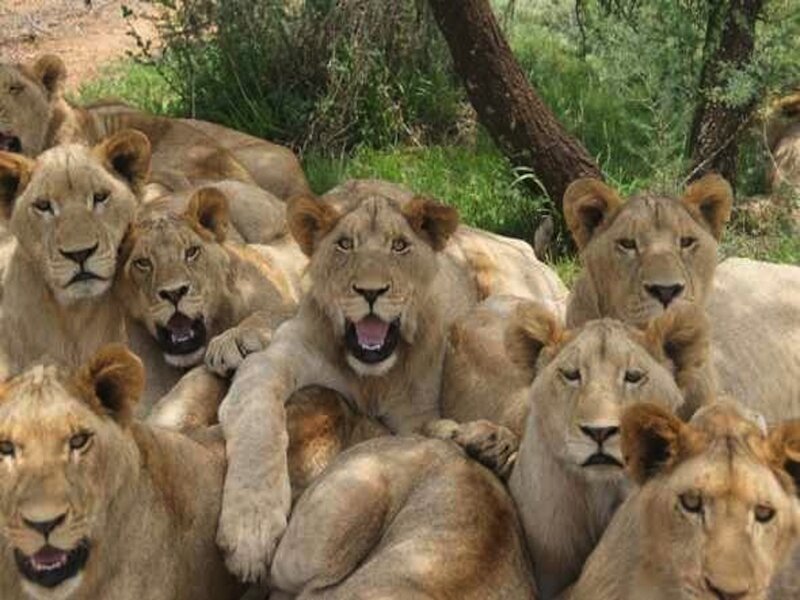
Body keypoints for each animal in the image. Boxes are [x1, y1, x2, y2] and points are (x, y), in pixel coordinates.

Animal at [214, 181, 569, 582]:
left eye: (400, 246)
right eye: (345, 245)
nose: (371, 291)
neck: (371, 378)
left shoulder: (414, 414)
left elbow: (432, 433)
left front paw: (488, 441)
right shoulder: (273, 362)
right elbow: (259, 429)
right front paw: (250, 533)